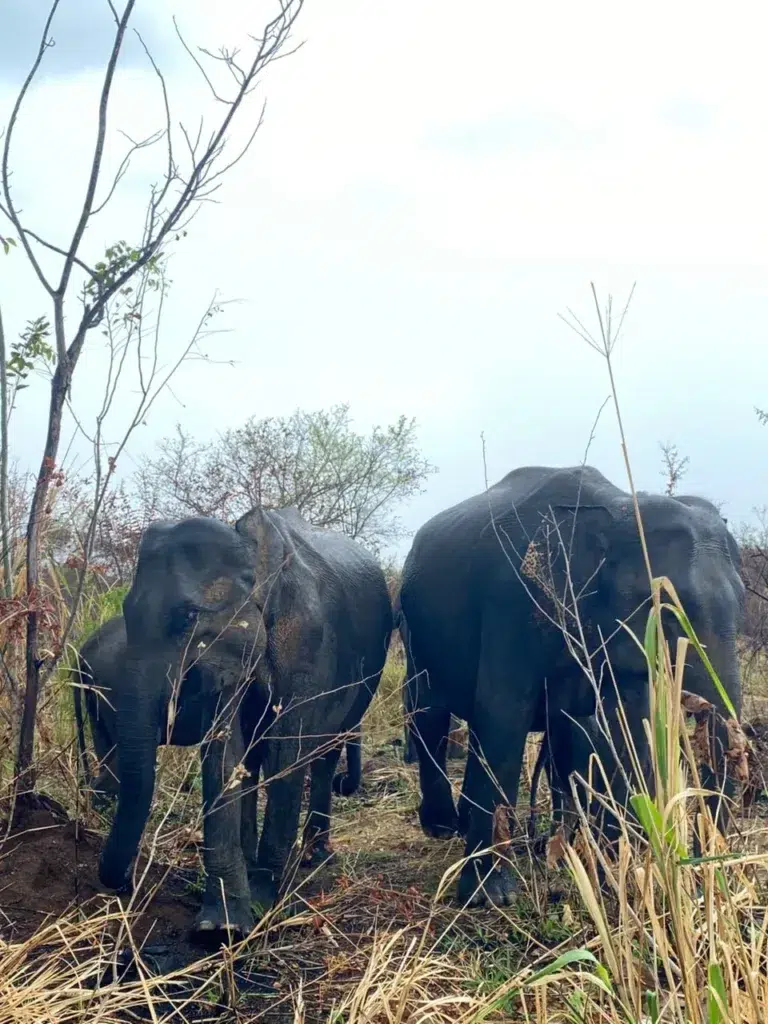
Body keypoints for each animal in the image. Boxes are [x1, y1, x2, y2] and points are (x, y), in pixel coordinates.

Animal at [398, 465, 744, 907]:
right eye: (666, 611)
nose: (702, 888)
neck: (615, 507)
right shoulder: (515, 601)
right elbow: (502, 716)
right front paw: (490, 897)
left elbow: (624, 725)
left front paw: (615, 867)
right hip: (413, 631)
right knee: (429, 716)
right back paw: (443, 828)